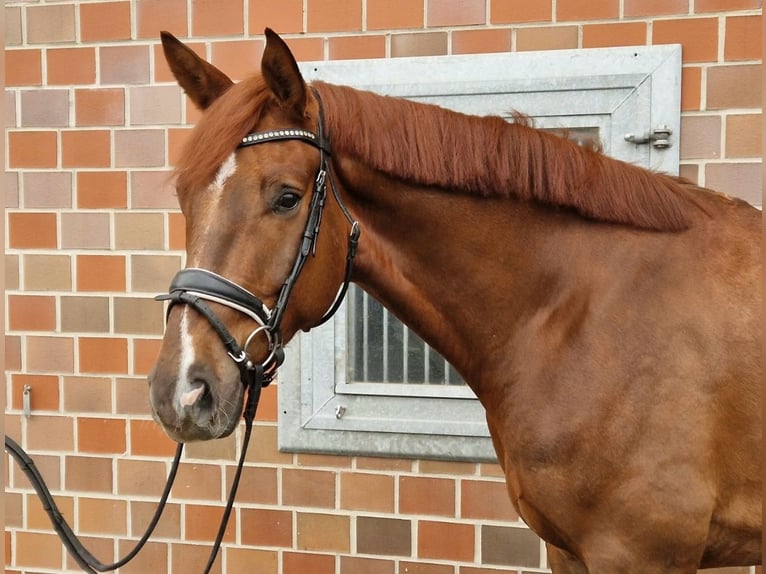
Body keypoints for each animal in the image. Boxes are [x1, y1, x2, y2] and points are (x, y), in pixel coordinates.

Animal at [148, 32, 760, 574]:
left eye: (287, 198)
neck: (586, 315)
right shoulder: (568, 551)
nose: (181, 393)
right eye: (182, 196)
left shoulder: (640, 553)